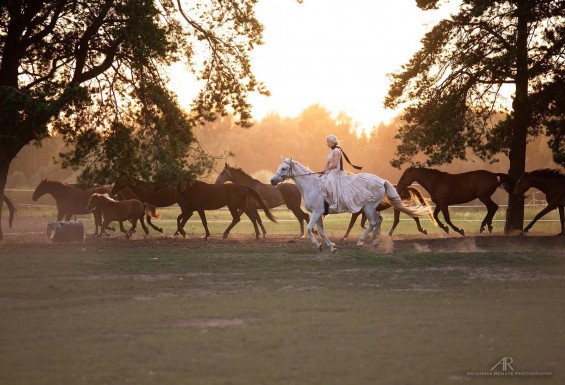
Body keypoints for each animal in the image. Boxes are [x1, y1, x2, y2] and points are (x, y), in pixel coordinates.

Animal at [268, 157, 428, 252]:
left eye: (283, 168)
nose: (272, 181)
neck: (311, 185)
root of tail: (382, 181)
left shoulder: (316, 213)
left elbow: (309, 228)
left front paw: (317, 245)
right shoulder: (318, 214)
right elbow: (321, 231)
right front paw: (330, 246)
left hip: (368, 208)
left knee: (373, 222)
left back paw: (361, 242)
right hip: (370, 208)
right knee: (378, 221)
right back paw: (375, 241)